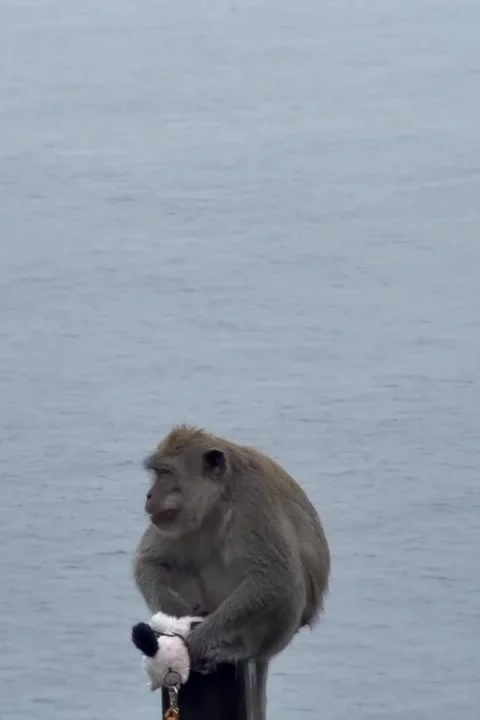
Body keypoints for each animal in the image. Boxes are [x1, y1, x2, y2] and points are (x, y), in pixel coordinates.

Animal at [133, 424, 330, 679]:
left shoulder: (252, 504)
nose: (149, 495)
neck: (218, 501)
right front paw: (177, 613)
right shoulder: (172, 522)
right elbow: (148, 561)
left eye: (166, 473)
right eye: (157, 473)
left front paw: (197, 640)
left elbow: (275, 577)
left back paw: (238, 649)